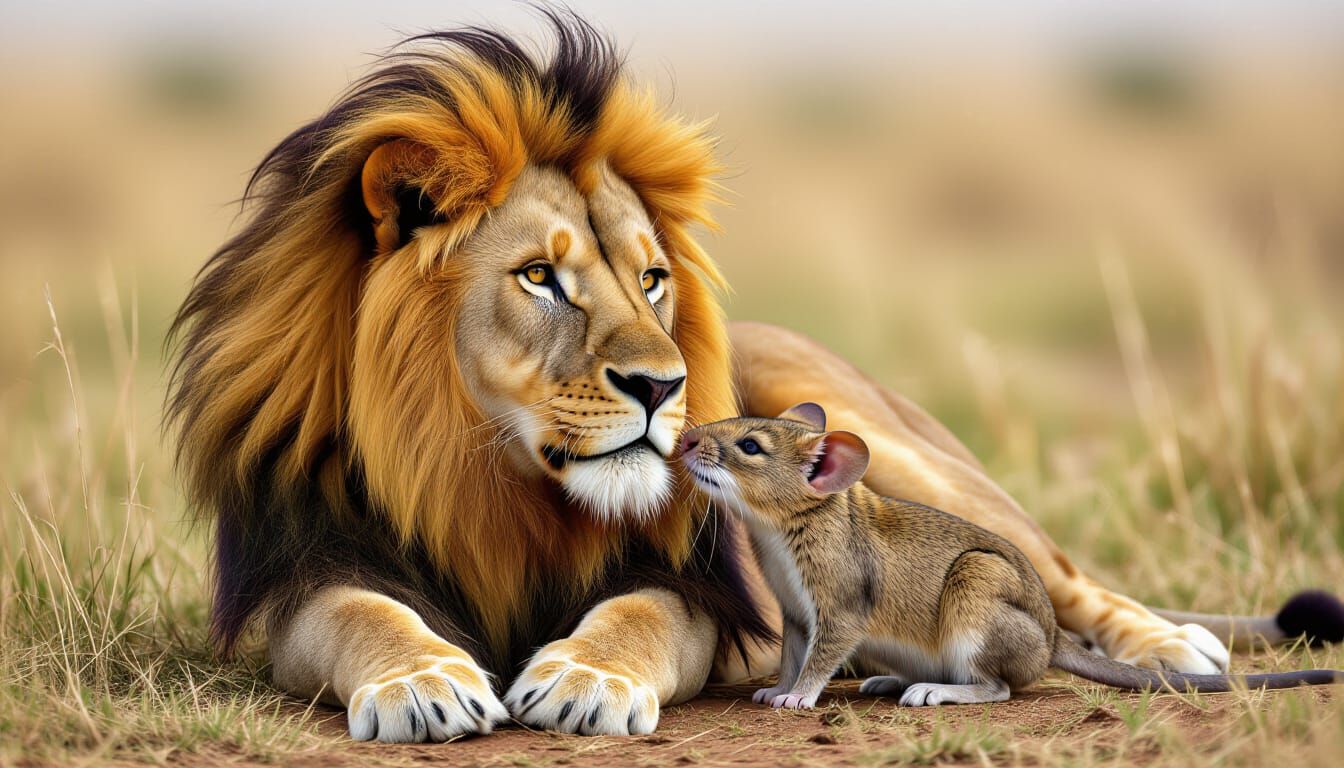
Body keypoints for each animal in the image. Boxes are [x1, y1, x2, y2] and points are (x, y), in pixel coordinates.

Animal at [168, 11, 1342, 743]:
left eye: (650, 278)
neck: (483, 476)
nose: (665, 390)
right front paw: (426, 683)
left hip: (914, 457)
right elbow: (363, 615)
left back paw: (1175, 645)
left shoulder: (703, 593)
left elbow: (640, 618)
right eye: (541, 276)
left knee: (1060, 577)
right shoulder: (304, 569)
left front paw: (585, 679)